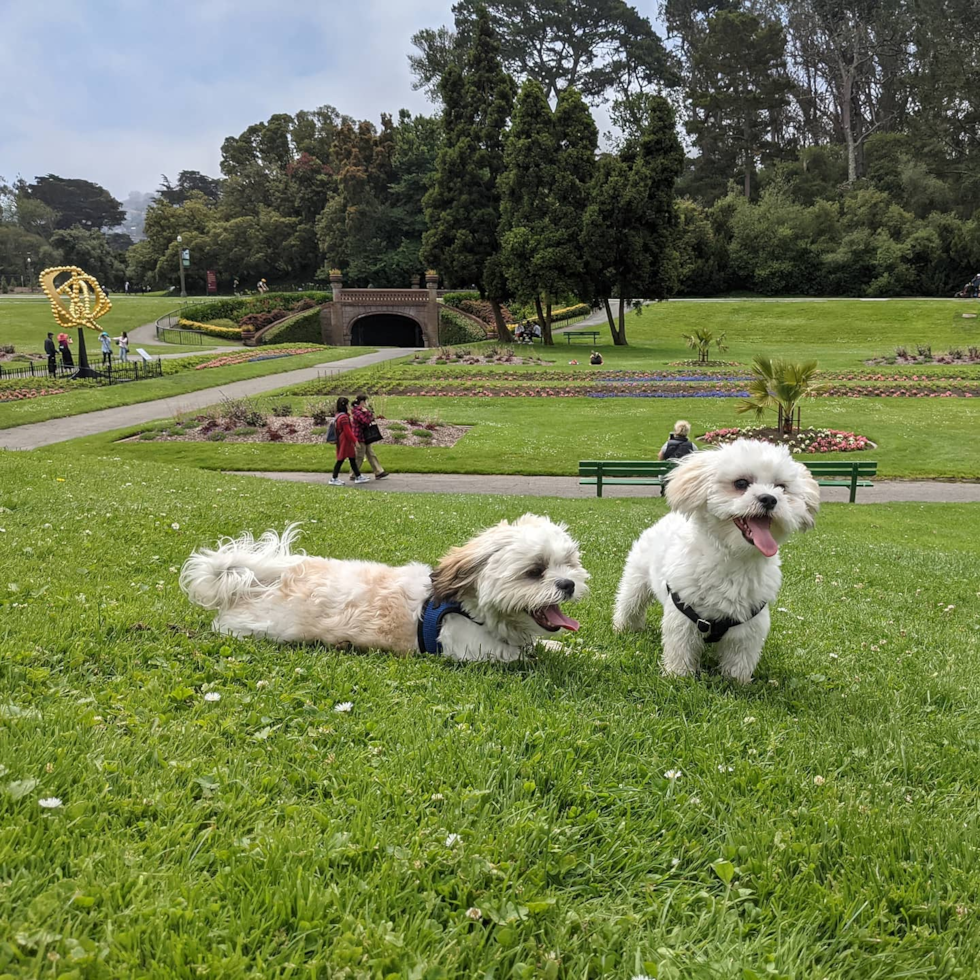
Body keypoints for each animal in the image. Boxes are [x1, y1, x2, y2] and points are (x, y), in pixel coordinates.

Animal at [180, 512, 584, 668]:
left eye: (569, 563)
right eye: (535, 571)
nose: (568, 584)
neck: (470, 608)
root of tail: (254, 585)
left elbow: (547, 646)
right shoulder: (479, 652)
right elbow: (531, 657)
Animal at [612, 442, 820, 680]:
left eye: (782, 487)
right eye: (741, 483)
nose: (769, 498)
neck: (734, 560)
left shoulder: (750, 625)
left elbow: (740, 660)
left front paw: (736, 681)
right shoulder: (683, 616)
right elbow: (680, 649)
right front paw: (678, 675)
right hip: (636, 580)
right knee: (630, 604)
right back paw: (624, 628)